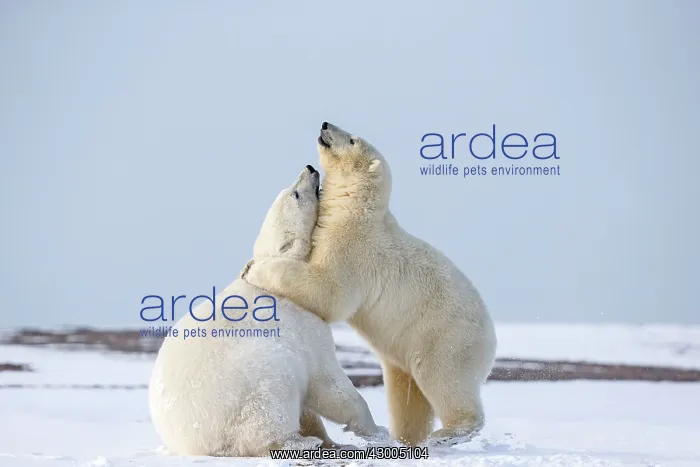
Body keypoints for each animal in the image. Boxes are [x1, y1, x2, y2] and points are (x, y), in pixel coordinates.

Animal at [148, 164, 384, 457]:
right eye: (295, 194)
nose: (310, 169)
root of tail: (196, 443)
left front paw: (332, 439)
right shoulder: (304, 326)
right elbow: (328, 382)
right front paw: (377, 430)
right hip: (253, 380)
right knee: (268, 409)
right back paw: (300, 441)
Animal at [244, 122, 498, 447]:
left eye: (352, 140)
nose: (325, 125)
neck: (355, 209)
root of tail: (491, 339)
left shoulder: (353, 247)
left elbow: (328, 292)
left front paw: (255, 269)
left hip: (445, 337)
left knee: (444, 379)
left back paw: (446, 433)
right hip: (406, 353)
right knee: (407, 396)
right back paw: (407, 439)